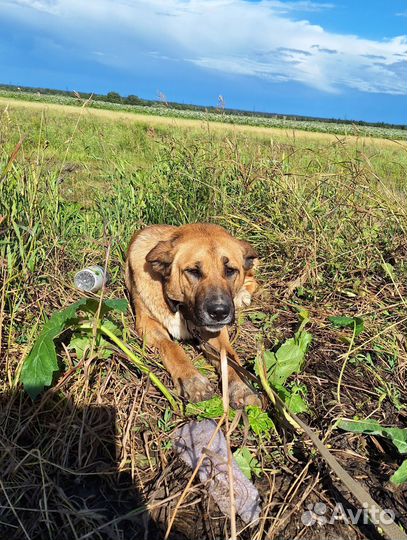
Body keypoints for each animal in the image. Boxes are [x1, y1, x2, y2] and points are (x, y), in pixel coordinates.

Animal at [125, 224, 262, 410]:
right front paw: (192, 380)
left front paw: (241, 386)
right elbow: (172, 347)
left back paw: (242, 294)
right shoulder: (148, 324)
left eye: (230, 270)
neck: (182, 309)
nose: (219, 312)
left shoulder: (214, 332)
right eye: (193, 271)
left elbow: (228, 356)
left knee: (252, 279)